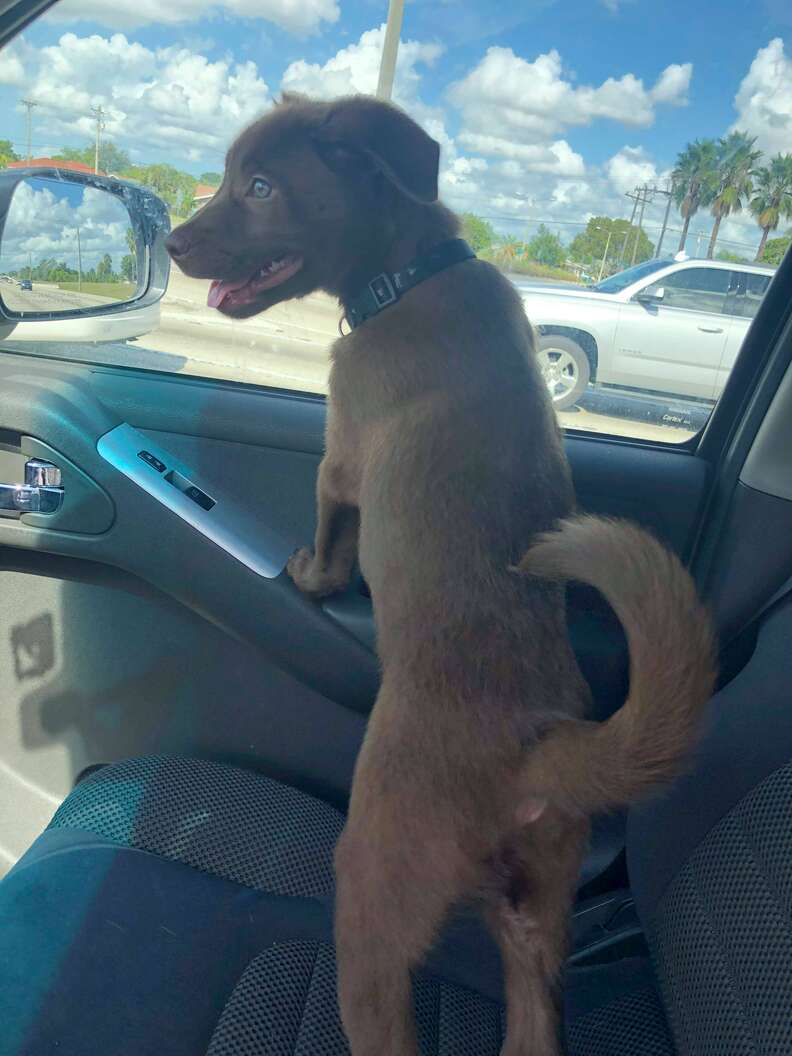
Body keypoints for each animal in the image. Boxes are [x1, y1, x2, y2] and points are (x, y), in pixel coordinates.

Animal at [168, 92, 718, 1056]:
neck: (414, 271)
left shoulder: (339, 462)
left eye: (259, 186)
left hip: (374, 894)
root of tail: (537, 747)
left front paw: (310, 574)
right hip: (537, 920)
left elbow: (331, 538)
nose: (168, 242)